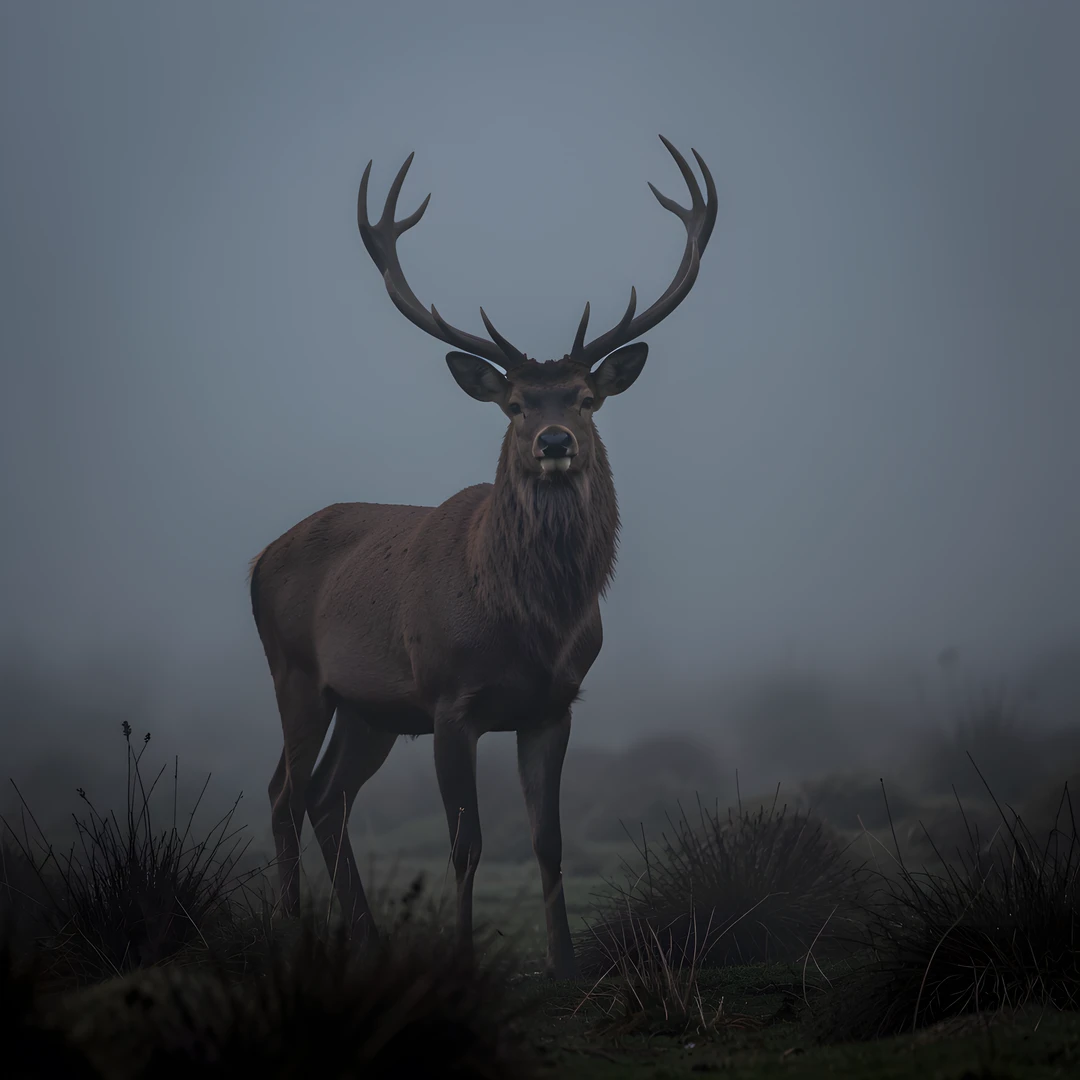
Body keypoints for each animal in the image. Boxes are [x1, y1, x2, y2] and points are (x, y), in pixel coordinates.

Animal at [249, 135, 716, 978]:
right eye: (516, 404)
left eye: (585, 398)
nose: (555, 441)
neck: (527, 620)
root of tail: (257, 558)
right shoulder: (447, 702)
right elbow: (465, 844)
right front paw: (463, 959)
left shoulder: (555, 705)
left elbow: (548, 839)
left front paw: (565, 963)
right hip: (295, 671)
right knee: (283, 793)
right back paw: (294, 934)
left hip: (368, 709)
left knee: (327, 798)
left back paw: (367, 937)